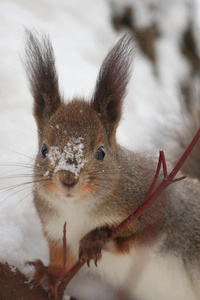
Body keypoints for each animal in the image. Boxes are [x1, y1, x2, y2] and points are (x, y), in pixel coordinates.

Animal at [24, 31, 200, 300]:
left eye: (101, 152)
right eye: (44, 150)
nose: (68, 178)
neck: (77, 210)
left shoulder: (158, 210)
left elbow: (132, 237)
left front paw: (96, 238)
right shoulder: (54, 230)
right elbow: (60, 260)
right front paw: (50, 274)